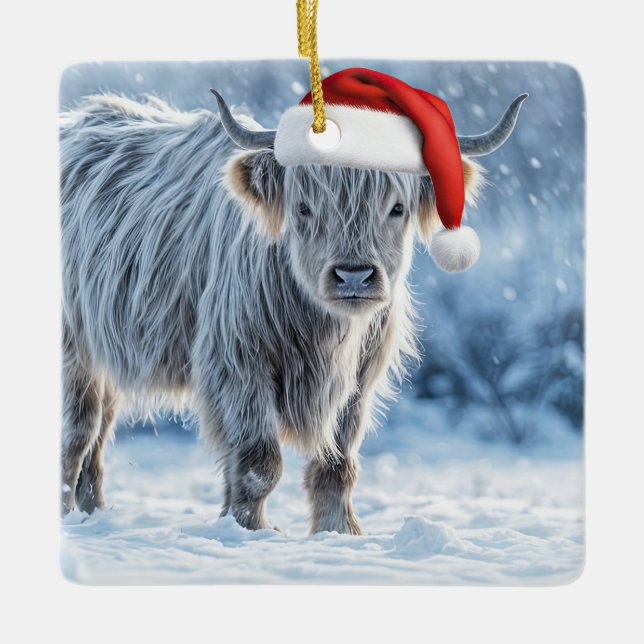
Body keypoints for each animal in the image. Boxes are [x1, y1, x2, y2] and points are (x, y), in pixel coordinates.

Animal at [59, 85, 526, 534]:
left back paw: (92, 513)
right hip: (73, 348)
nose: (353, 276)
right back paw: (67, 515)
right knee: (77, 432)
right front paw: (250, 530)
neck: (322, 328)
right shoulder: (239, 363)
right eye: (304, 207)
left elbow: (336, 464)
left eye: (397, 208)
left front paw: (338, 533)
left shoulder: (357, 379)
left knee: (98, 436)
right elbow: (257, 464)